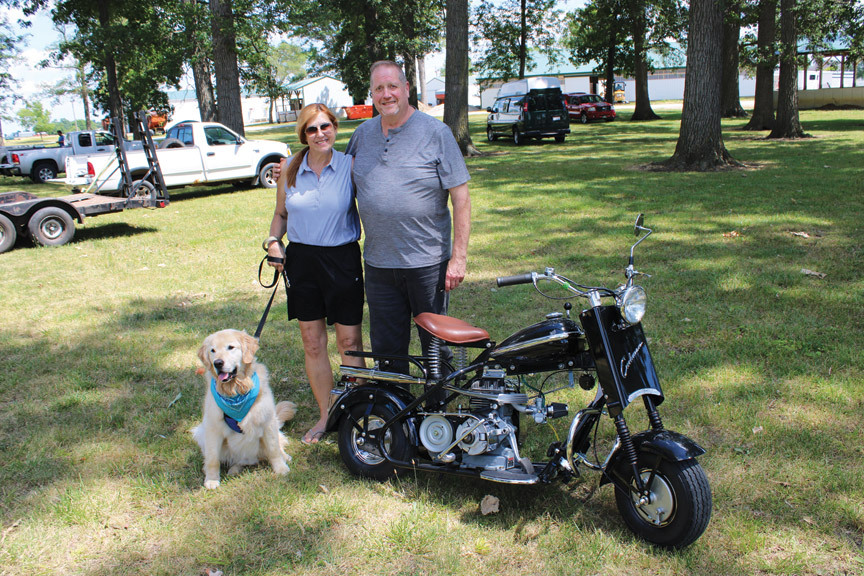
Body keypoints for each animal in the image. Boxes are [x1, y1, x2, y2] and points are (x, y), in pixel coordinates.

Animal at [192, 329, 296, 489]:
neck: (236, 390)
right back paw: (234, 469)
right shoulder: (212, 428)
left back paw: (285, 457)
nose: (218, 363)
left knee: (278, 444)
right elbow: (212, 459)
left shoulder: (267, 421)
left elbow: (274, 449)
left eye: (230, 347)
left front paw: (281, 469)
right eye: (212, 350)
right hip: (200, 433)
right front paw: (212, 479)